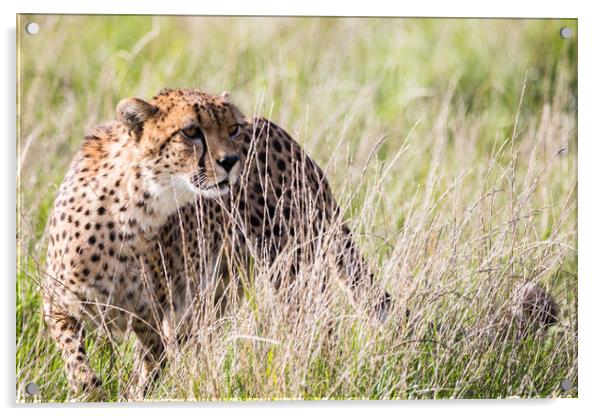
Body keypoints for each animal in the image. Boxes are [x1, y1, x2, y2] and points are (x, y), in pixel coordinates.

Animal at [42, 88, 390, 400]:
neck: (133, 209)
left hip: (290, 274)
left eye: (232, 129)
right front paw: (91, 391)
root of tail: (278, 131)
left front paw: (133, 396)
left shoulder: (156, 319)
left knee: (318, 327)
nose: (231, 160)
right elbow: (79, 363)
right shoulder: (57, 303)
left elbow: (148, 371)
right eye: (191, 132)